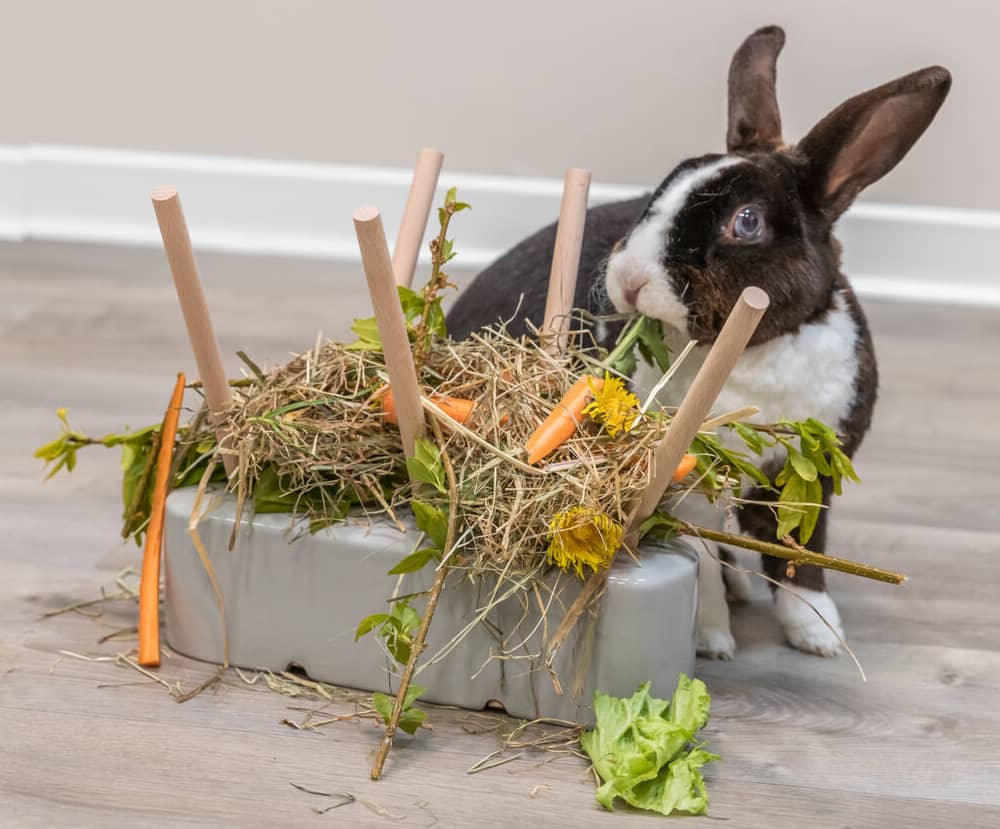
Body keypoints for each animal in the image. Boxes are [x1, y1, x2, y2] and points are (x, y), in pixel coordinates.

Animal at [448, 25, 952, 656]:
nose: (629, 279)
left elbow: (799, 552)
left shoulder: (807, 476)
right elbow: (702, 561)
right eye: (662, 191)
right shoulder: (688, 488)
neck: (750, 355)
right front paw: (712, 639)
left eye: (747, 221)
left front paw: (819, 635)